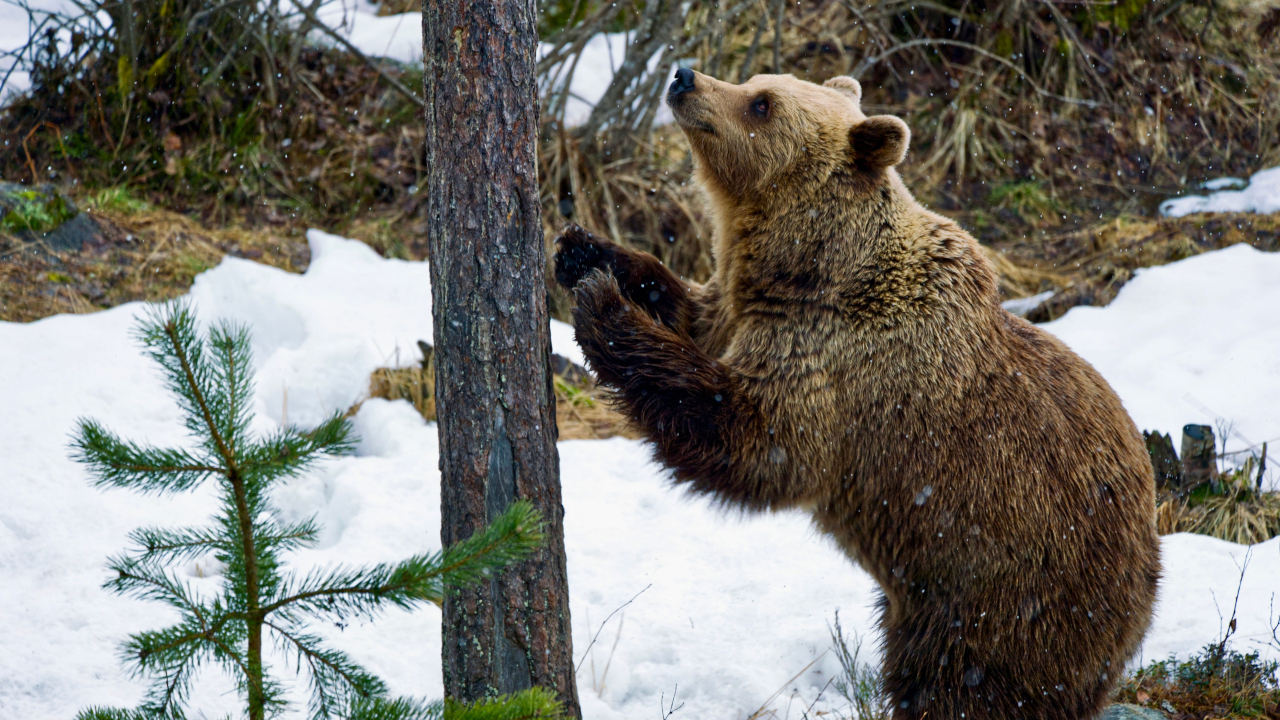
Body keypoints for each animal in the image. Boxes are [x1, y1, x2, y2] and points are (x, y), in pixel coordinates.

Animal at [554, 68, 1160, 720]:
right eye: (756, 81)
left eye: (762, 104)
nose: (685, 77)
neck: (810, 270)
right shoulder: (743, 312)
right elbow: (694, 312)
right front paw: (584, 251)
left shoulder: (842, 363)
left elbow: (756, 441)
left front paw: (602, 307)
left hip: (1002, 598)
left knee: (961, 685)